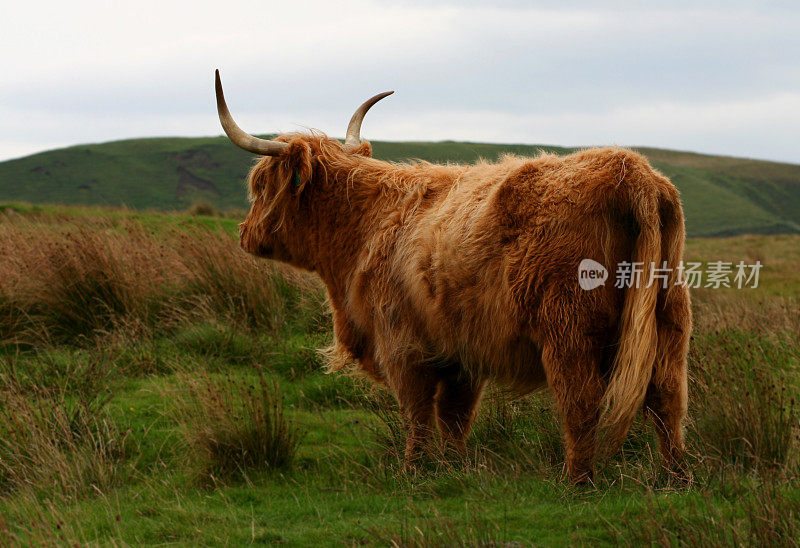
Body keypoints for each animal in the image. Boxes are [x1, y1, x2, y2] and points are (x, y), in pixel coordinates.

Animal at [216, 69, 692, 484]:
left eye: (260, 186)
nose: (244, 234)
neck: (366, 223)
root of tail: (629, 169)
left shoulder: (402, 344)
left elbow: (418, 413)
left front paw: (414, 470)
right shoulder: (461, 351)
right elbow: (455, 417)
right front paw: (454, 467)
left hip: (568, 327)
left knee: (582, 399)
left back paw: (577, 482)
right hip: (668, 318)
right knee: (666, 396)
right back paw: (674, 479)